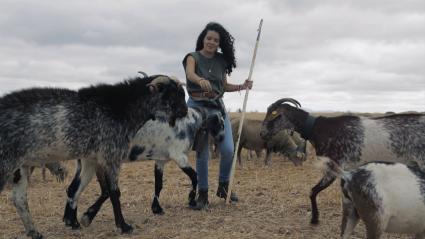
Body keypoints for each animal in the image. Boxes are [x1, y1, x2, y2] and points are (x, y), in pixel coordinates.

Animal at [0, 74, 186, 239]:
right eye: (173, 94)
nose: (185, 111)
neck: (121, 107)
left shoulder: (91, 159)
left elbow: (78, 189)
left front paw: (77, 220)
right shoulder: (111, 155)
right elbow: (114, 192)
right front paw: (123, 226)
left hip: (21, 166)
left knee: (19, 199)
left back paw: (35, 232)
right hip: (5, 161)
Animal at [68, 107, 225, 228]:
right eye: (221, 124)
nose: (223, 138)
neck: (189, 122)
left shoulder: (160, 160)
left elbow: (158, 184)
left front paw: (156, 208)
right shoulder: (179, 157)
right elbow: (194, 176)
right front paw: (191, 199)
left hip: (88, 161)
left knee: (74, 188)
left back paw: (74, 221)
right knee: (105, 191)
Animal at [258, 97, 424, 224]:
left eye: (274, 114)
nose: (262, 133)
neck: (319, 129)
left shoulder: (333, 167)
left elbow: (312, 191)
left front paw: (314, 219)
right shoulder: (346, 170)